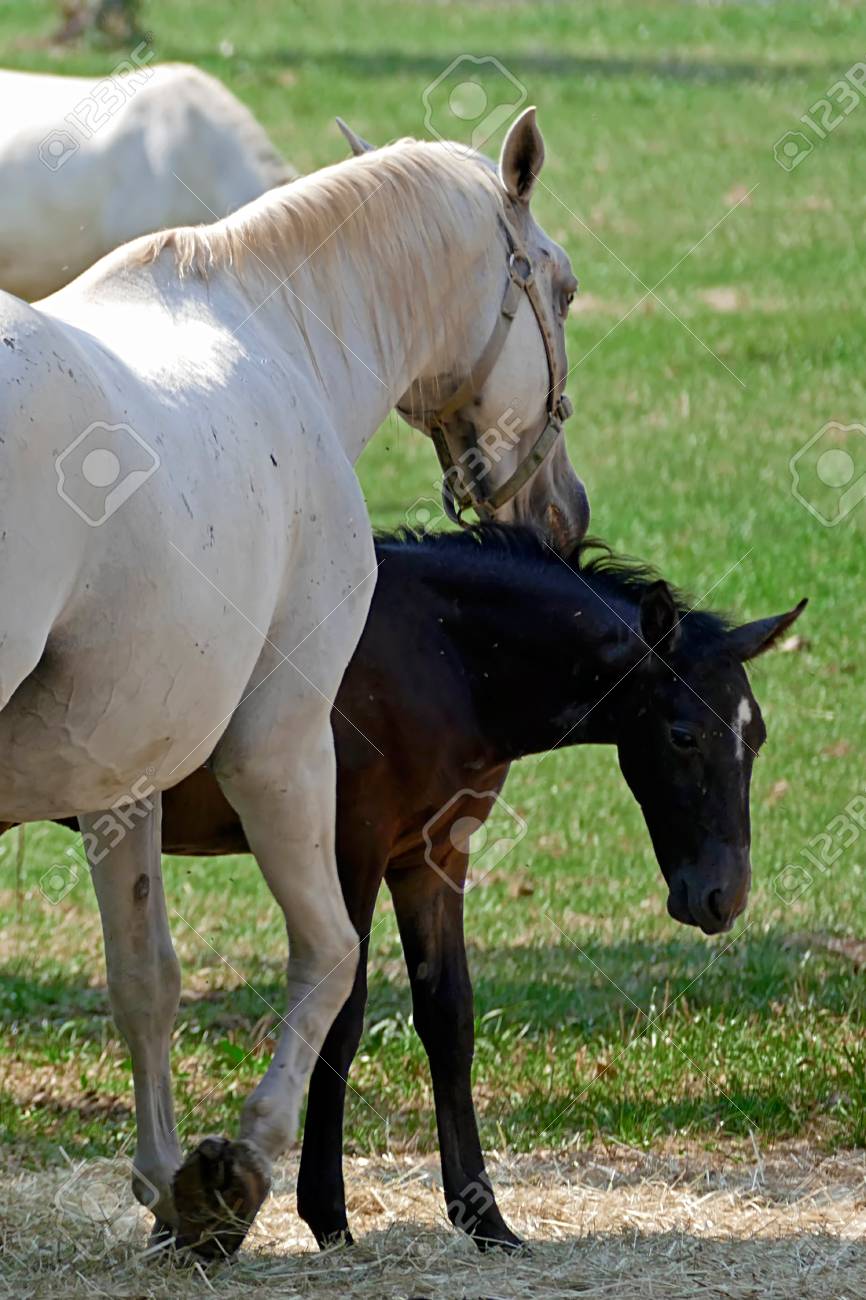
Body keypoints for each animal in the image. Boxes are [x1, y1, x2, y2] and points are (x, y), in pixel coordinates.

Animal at [0, 107, 588, 1255]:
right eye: (565, 285)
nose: (563, 509)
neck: (279, 343)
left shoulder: (125, 774)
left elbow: (146, 980)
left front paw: (166, 1183)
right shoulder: (282, 743)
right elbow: (329, 958)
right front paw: (236, 1173)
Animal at [27, 525, 804, 1251]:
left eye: (758, 737)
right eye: (682, 735)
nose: (722, 897)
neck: (439, 658)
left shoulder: (432, 859)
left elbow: (448, 1015)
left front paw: (485, 1220)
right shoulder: (353, 850)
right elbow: (342, 1017)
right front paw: (328, 1217)